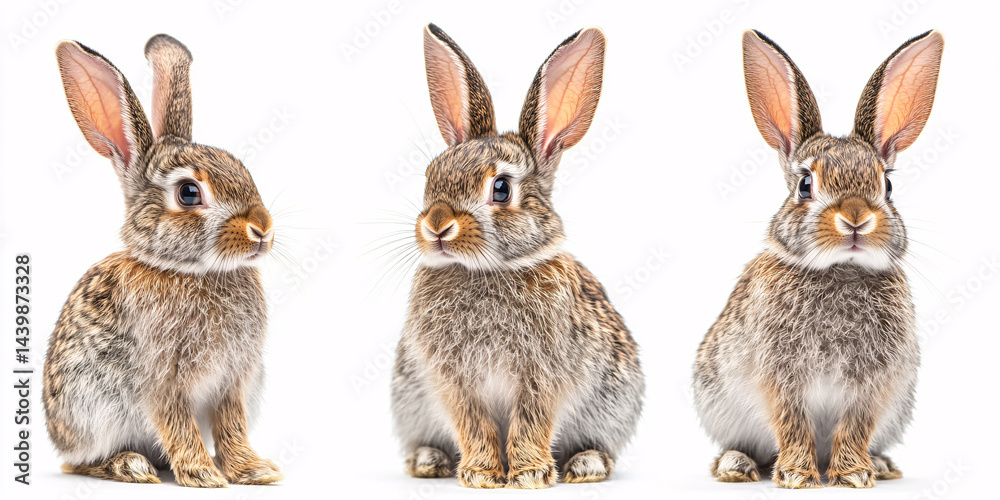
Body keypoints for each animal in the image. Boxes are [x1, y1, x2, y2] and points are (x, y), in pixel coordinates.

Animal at [42, 34, 283, 488]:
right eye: (188, 193)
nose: (262, 229)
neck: (191, 270)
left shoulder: (233, 381)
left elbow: (232, 425)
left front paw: (253, 470)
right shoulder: (162, 380)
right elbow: (178, 423)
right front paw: (203, 475)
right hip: (92, 411)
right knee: (76, 462)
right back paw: (129, 465)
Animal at [390, 24, 644, 489]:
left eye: (501, 188)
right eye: (430, 175)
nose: (436, 225)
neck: (487, 269)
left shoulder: (542, 376)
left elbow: (531, 421)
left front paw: (527, 474)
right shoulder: (454, 381)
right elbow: (473, 422)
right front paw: (482, 474)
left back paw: (586, 464)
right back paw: (429, 461)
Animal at [693, 30, 943, 489]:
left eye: (888, 185)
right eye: (806, 184)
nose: (856, 218)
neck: (840, 270)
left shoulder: (872, 383)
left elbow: (856, 423)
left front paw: (854, 474)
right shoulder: (779, 375)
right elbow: (791, 421)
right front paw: (797, 476)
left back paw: (881, 465)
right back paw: (736, 465)